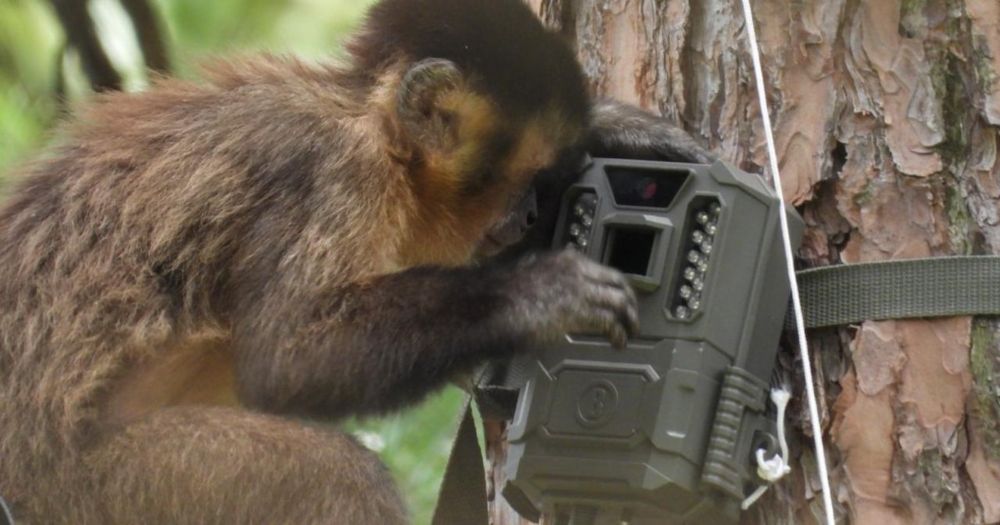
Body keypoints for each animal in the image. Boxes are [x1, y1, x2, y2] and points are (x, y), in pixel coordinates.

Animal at [0, 0, 712, 520]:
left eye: (547, 184)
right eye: (528, 182)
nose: (533, 216)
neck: (370, 123)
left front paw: (616, 130)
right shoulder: (334, 171)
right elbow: (286, 358)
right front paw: (534, 297)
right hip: (92, 490)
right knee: (339, 477)